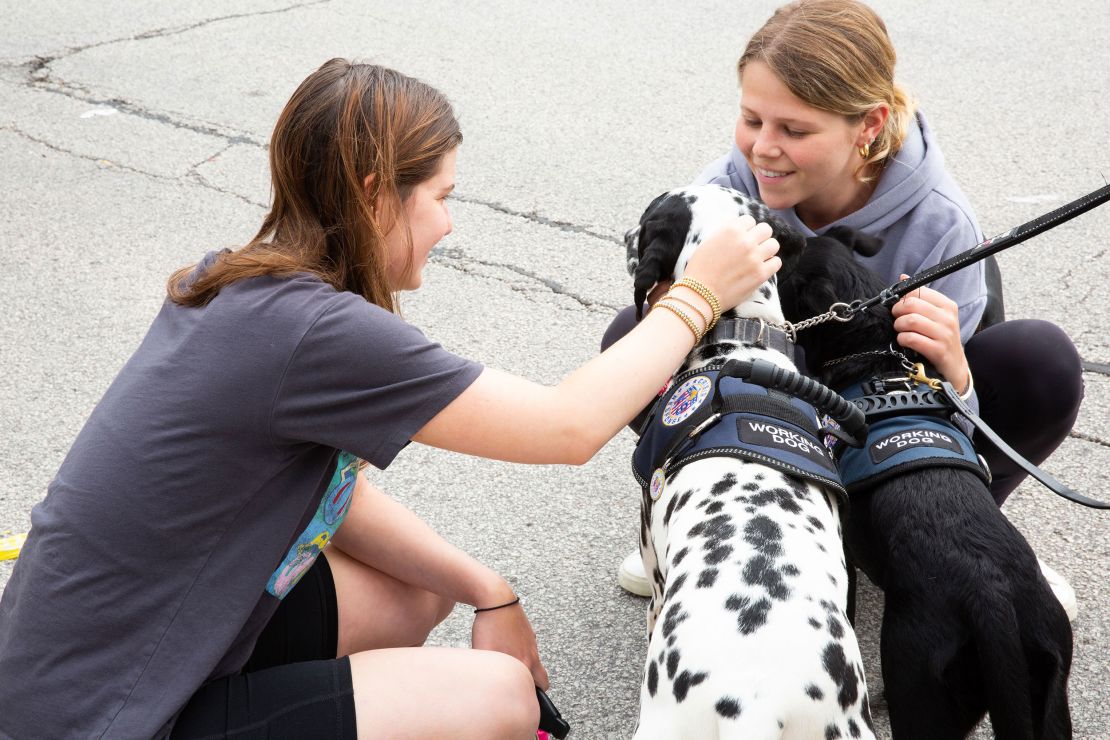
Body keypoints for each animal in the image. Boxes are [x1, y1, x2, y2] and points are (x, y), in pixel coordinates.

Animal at [777, 227, 1070, 740]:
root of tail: (990, 598)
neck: (875, 360)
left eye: (785, 271)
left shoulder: (844, 546)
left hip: (917, 680)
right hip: (1049, 694)